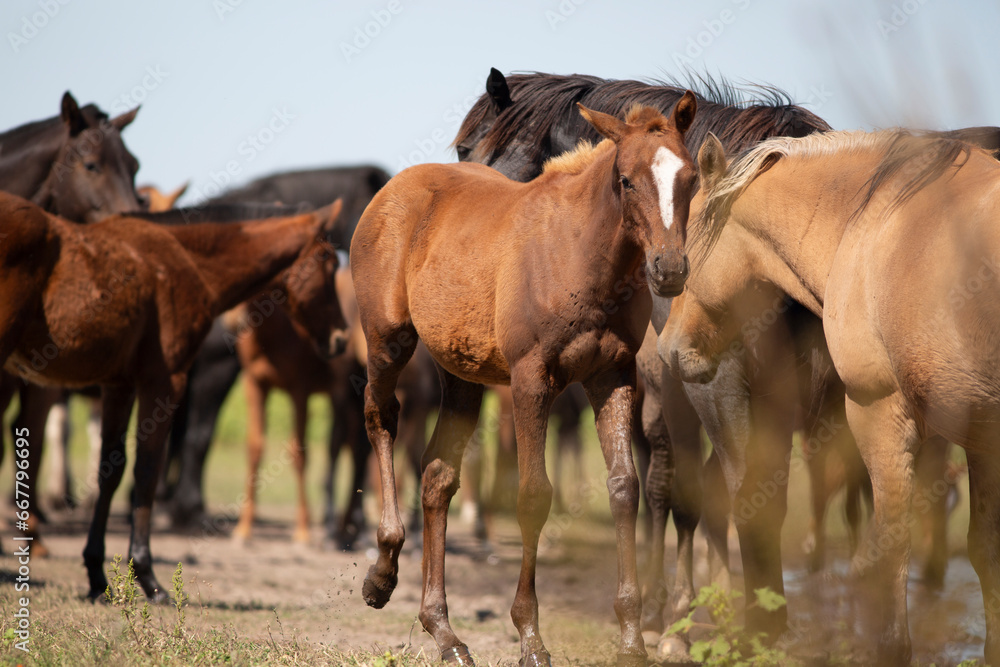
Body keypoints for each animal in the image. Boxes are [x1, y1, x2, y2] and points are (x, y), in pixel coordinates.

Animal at [0, 194, 348, 600]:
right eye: (328, 261)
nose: (341, 338)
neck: (187, 260)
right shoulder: (165, 382)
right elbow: (148, 470)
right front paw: (148, 576)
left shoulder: (119, 386)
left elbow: (111, 471)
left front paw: (97, 575)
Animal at [664, 129, 1000, 664]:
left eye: (686, 255)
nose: (669, 350)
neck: (874, 226)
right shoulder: (981, 434)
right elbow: (985, 550)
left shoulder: (877, 411)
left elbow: (890, 544)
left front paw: (890, 647)